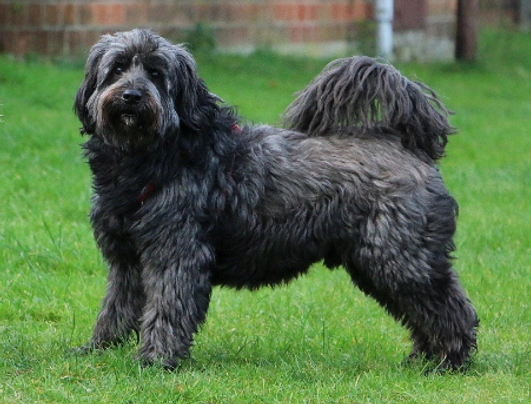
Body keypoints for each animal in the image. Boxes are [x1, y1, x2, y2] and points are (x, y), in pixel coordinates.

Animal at [74, 28, 478, 370]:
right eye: (118, 68)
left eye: (157, 73)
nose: (131, 96)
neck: (156, 158)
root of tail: (409, 144)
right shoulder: (127, 260)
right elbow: (117, 308)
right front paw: (99, 349)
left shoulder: (175, 254)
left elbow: (166, 309)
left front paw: (156, 359)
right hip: (379, 264)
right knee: (423, 311)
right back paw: (424, 358)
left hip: (401, 260)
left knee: (450, 307)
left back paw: (449, 361)